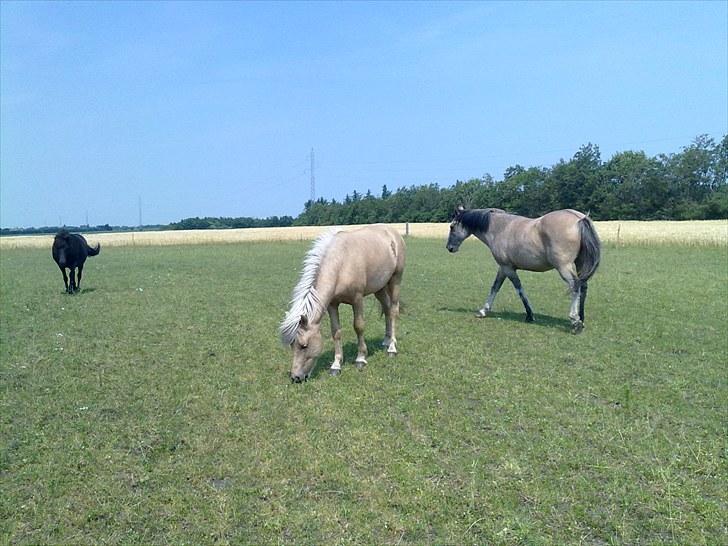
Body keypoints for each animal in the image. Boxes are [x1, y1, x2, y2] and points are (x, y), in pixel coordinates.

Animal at [280, 223, 406, 380]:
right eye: (292, 345)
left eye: (304, 345)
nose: (296, 377)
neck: (341, 263)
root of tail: (393, 232)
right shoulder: (332, 305)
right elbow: (336, 331)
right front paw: (336, 365)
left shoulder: (357, 299)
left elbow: (359, 326)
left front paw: (361, 358)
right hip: (380, 288)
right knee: (387, 310)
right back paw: (386, 341)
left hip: (396, 280)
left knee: (393, 311)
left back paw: (392, 348)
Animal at [446, 204, 600, 332]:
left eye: (452, 227)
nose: (449, 248)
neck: (499, 228)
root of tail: (579, 218)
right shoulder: (503, 268)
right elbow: (495, 287)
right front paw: (483, 311)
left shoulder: (508, 268)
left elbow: (519, 289)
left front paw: (530, 315)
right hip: (580, 264)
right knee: (583, 286)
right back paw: (581, 319)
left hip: (564, 267)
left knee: (575, 286)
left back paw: (575, 321)